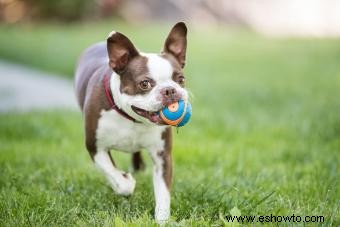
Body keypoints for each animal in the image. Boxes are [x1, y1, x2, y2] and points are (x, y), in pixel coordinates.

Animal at [73, 22, 189, 222]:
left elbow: (163, 192)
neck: (132, 119)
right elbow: (114, 174)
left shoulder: (162, 156)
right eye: (145, 83)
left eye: (181, 79)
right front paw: (126, 181)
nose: (170, 90)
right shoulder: (95, 147)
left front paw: (162, 220)